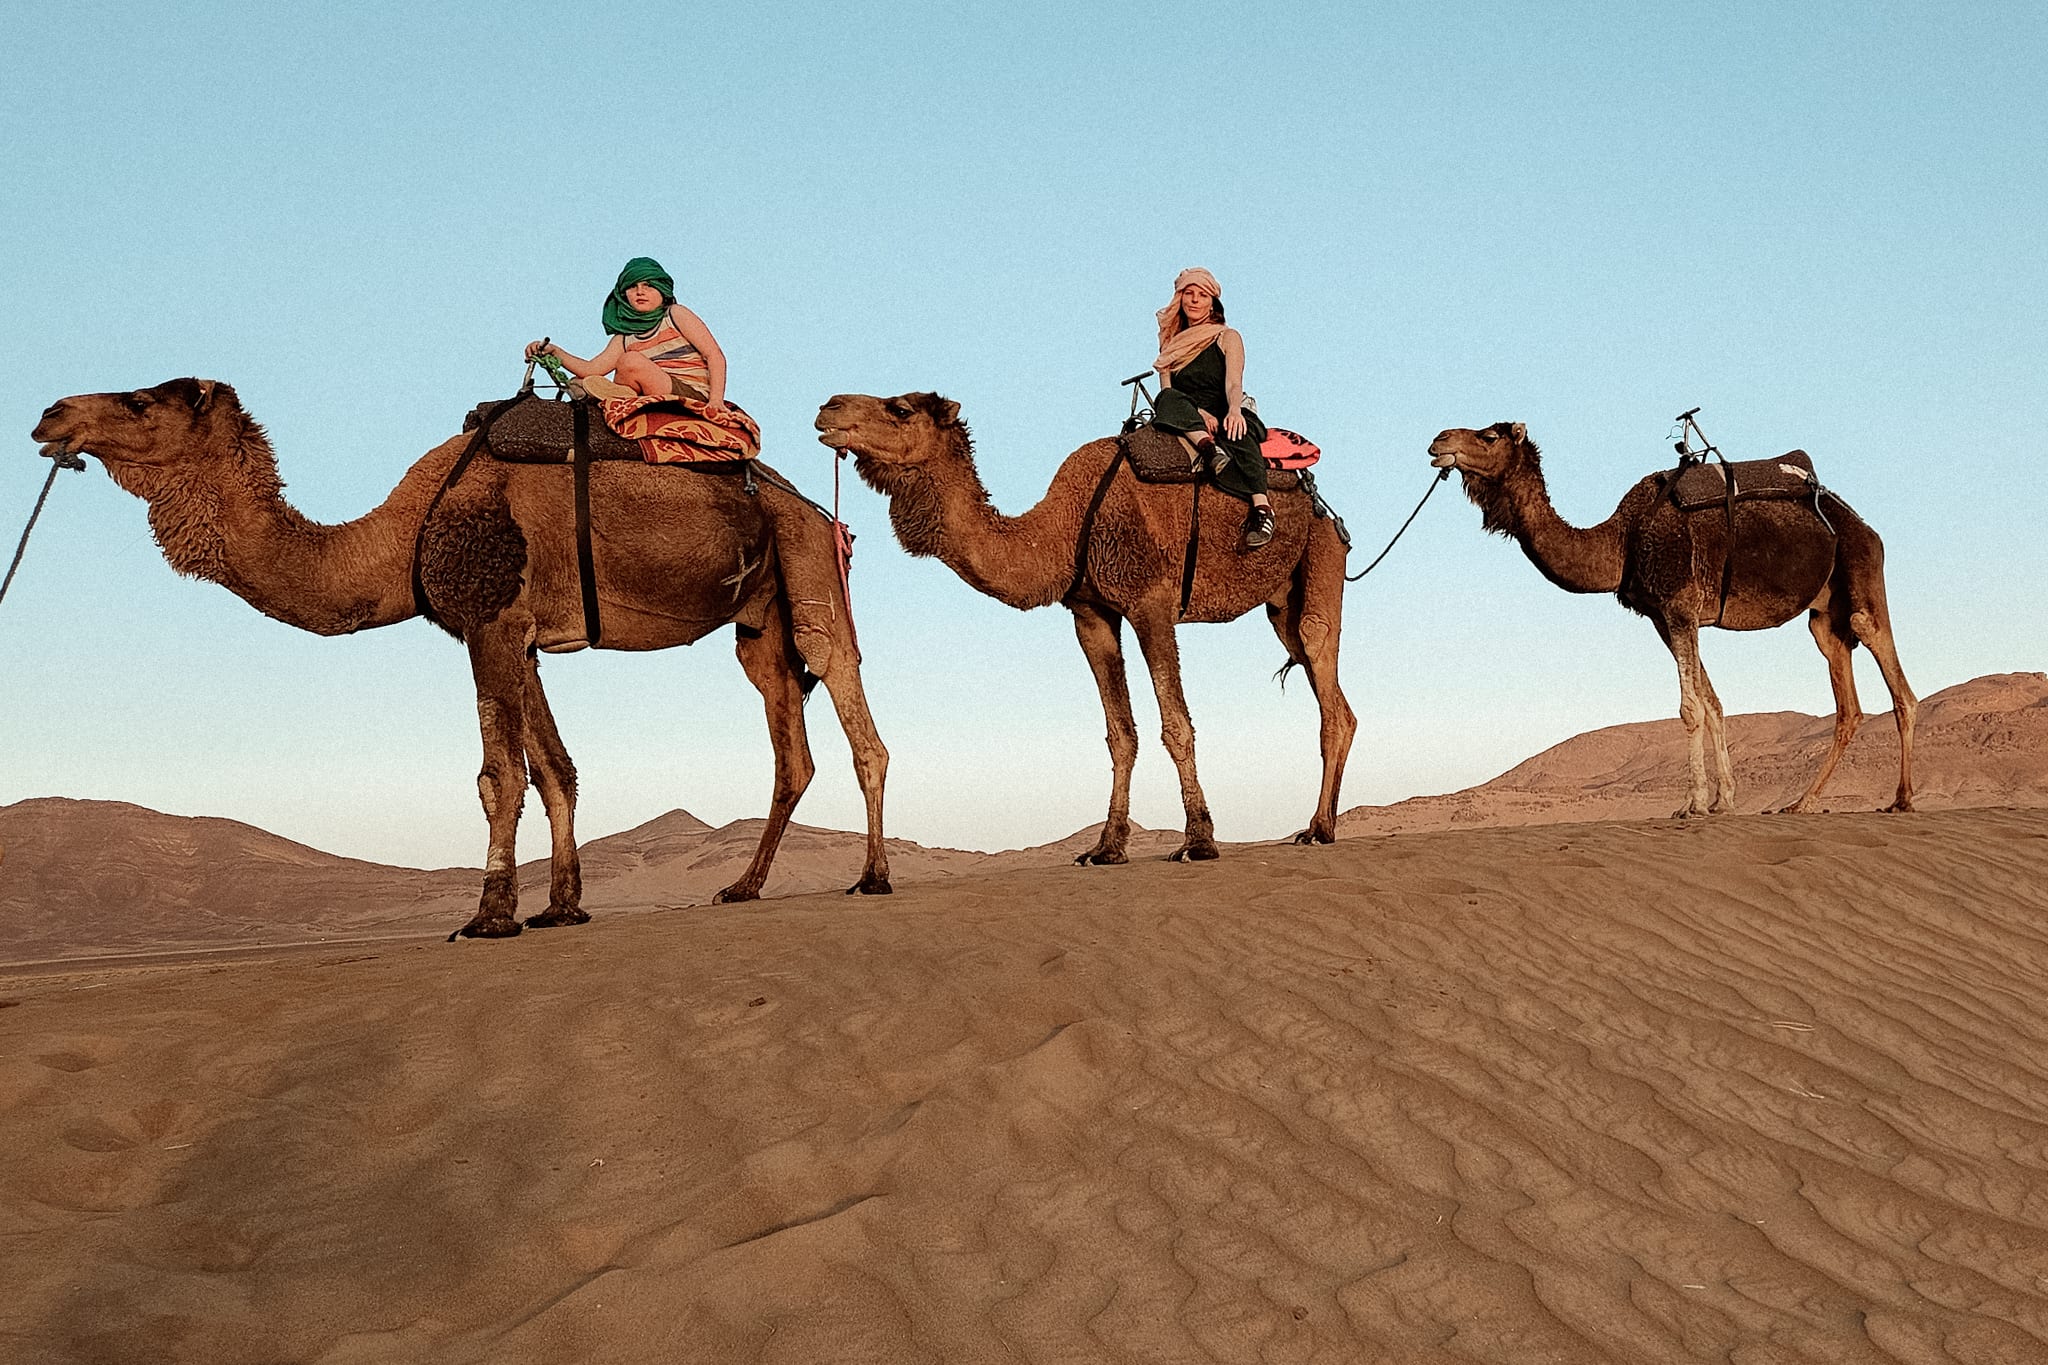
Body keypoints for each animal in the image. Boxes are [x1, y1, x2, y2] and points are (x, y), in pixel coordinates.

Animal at [32, 376, 892, 941]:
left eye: (141, 400)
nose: (49, 414)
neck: (400, 534)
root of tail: (807, 501)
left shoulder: (489, 620)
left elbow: (498, 775)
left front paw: (489, 914)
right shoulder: (525, 637)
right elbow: (555, 769)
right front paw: (561, 906)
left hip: (810, 567)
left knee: (857, 720)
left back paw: (874, 876)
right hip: (758, 625)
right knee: (790, 748)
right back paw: (742, 887)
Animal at [815, 392, 1359, 863]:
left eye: (900, 408)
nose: (828, 407)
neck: (1068, 526)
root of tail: (1316, 493)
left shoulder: (1151, 604)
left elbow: (1176, 726)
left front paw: (1199, 840)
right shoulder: (1090, 614)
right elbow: (1120, 733)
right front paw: (1106, 848)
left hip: (1322, 553)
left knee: (1322, 663)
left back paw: (1318, 828)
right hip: (1280, 602)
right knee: (1326, 685)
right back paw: (1322, 825)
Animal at [1425, 421, 1916, 818]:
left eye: (1489, 436)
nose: (1438, 441)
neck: (1621, 540)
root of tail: (1863, 524)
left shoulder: (1680, 606)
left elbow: (1690, 708)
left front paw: (1692, 803)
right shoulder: (1663, 617)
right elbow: (1712, 704)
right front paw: (1723, 801)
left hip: (1861, 570)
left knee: (1893, 675)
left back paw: (1902, 798)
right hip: (1824, 615)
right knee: (1847, 702)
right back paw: (1802, 803)